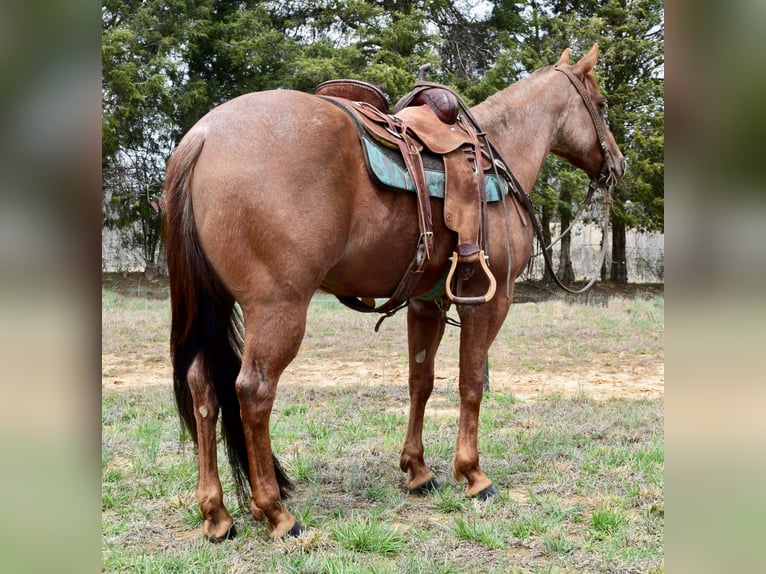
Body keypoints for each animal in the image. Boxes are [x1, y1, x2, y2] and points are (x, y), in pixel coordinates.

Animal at [162, 42, 624, 544]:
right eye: (601, 106)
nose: (617, 166)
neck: (501, 153)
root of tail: (203, 137)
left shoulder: (427, 302)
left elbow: (420, 380)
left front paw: (418, 471)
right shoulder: (490, 301)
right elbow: (471, 383)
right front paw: (474, 474)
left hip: (215, 305)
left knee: (204, 389)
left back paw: (217, 515)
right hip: (278, 309)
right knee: (253, 391)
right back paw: (276, 512)